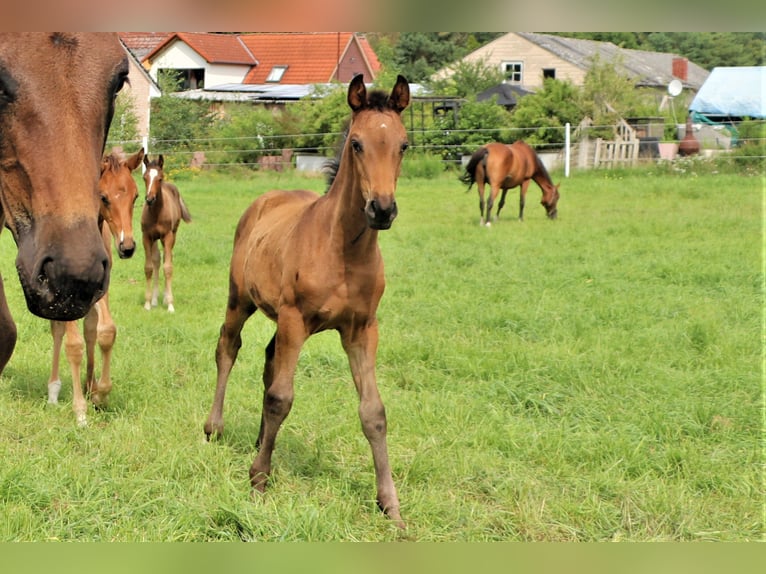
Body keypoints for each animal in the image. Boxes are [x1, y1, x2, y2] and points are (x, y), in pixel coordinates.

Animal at [48, 150, 144, 428]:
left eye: (136, 195)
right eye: (103, 197)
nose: (127, 247)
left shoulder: (101, 286)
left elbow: (105, 331)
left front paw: (100, 393)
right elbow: (73, 344)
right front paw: (80, 411)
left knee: (88, 327)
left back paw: (88, 385)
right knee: (58, 329)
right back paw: (54, 390)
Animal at [142, 155, 194, 312]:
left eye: (160, 178)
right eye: (144, 177)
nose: (150, 199)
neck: (156, 213)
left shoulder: (168, 236)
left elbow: (168, 267)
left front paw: (170, 304)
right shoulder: (147, 237)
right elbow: (149, 267)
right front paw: (147, 303)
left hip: (172, 235)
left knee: (166, 257)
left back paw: (165, 298)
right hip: (156, 239)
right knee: (157, 260)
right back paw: (154, 299)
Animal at [201, 74, 412, 528]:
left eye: (403, 144)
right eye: (357, 144)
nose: (382, 209)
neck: (344, 250)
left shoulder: (362, 329)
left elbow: (374, 412)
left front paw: (390, 505)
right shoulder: (296, 319)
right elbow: (282, 397)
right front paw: (259, 481)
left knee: (267, 360)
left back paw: (260, 439)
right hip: (240, 300)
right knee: (229, 348)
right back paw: (214, 428)